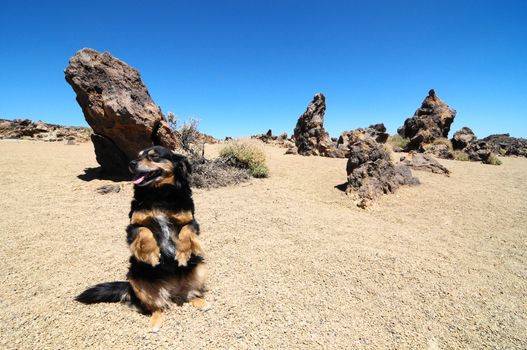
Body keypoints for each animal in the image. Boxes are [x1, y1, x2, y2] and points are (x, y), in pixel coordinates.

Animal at [76, 146, 208, 332]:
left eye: (154, 156)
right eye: (138, 156)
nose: (131, 164)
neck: (159, 194)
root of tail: (172, 289)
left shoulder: (192, 222)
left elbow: (185, 231)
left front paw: (182, 255)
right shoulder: (132, 226)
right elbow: (145, 231)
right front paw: (152, 255)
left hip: (200, 268)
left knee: (188, 294)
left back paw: (200, 302)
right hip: (136, 279)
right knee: (157, 307)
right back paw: (154, 323)